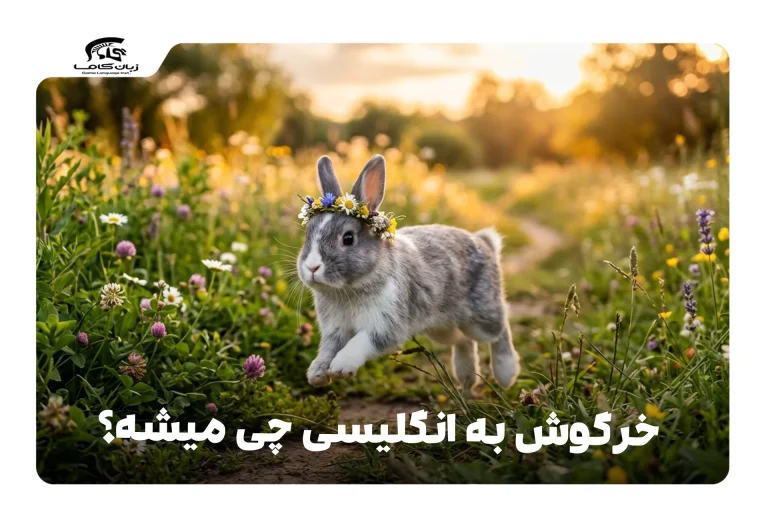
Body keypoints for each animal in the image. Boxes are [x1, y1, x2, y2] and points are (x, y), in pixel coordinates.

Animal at [297, 154, 520, 392]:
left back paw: (506, 374)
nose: (312, 267)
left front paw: (340, 366)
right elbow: (327, 350)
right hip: (443, 328)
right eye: (308, 235)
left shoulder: (386, 325)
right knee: (463, 341)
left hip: (481, 317)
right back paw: (467, 379)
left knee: (499, 330)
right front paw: (317, 374)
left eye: (348, 238)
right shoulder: (335, 331)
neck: (349, 289)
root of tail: (485, 243)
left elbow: (361, 342)